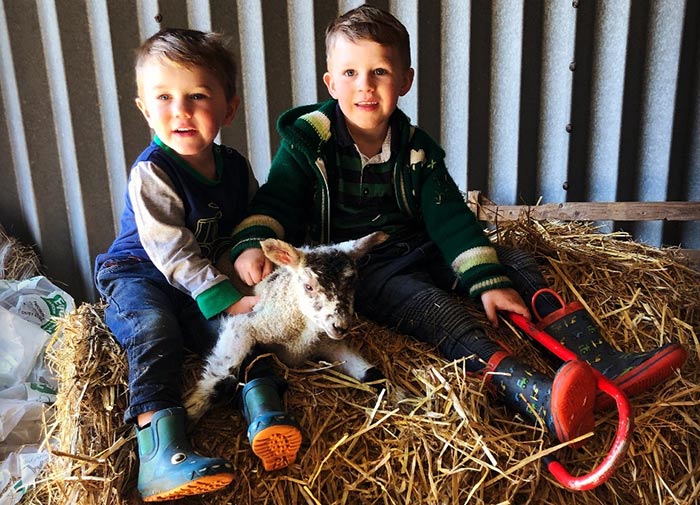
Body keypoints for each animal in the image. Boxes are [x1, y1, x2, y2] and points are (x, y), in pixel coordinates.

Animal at [186, 230, 388, 420]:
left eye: (352, 284)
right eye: (308, 287)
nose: (340, 326)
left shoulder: (329, 344)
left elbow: (373, 375)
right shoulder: (249, 323)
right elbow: (223, 378)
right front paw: (193, 408)